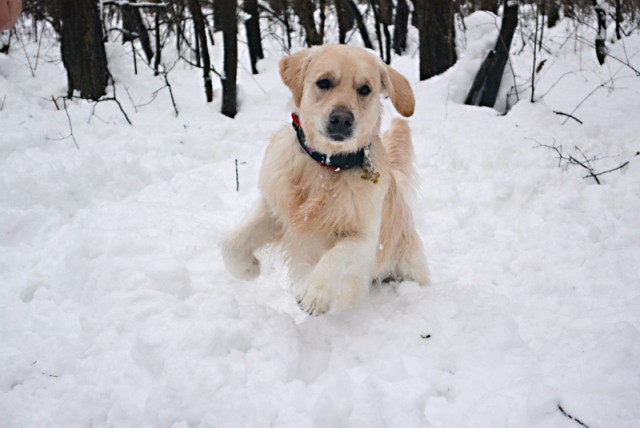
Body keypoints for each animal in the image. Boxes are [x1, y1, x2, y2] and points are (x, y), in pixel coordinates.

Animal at [222, 45, 428, 316]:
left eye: (365, 89)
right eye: (324, 82)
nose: (341, 118)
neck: (326, 165)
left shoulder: (364, 239)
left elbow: (336, 254)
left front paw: (315, 293)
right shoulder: (275, 209)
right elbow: (231, 243)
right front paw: (248, 268)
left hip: (409, 266)